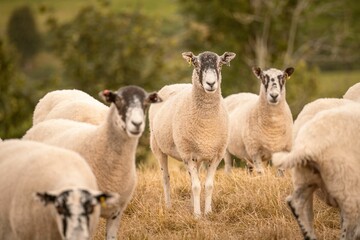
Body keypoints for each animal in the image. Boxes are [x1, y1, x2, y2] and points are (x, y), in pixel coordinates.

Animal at [148, 51, 236, 218]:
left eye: (220, 64)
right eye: (196, 64)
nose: (210, 83)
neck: (206, 125)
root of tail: (173, 84)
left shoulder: (216, 155)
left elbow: (208, 185)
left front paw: (207, 212)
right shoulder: (187, 154)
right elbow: (196, 186)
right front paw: (197, 215)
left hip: (198, 155)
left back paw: (190, 205)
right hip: (158, 147)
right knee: (166, 178)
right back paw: (168, 206)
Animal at [272, 102, 360, 240]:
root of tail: (309, 146)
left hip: (306, 177)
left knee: (295, 203)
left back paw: (309, 235)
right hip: (346, 182)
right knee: (348, 227)